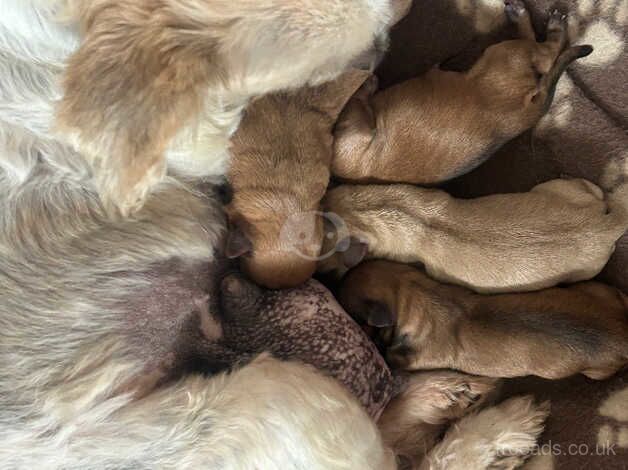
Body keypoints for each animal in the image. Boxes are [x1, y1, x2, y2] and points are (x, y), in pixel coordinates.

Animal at [332, 1, 592, 185]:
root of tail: (531, 109)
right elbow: (358, 98)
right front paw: (367, 83)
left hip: (503, 54)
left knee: (544, 55)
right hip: (505, 55)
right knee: (545, 56)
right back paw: (537, 21)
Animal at [338, 260, 628, 382]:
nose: (332, 280)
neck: (412, 293)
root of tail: (622, 329)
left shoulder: (416, 358)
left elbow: (395, 357)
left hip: (598, 371)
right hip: (598, 289)